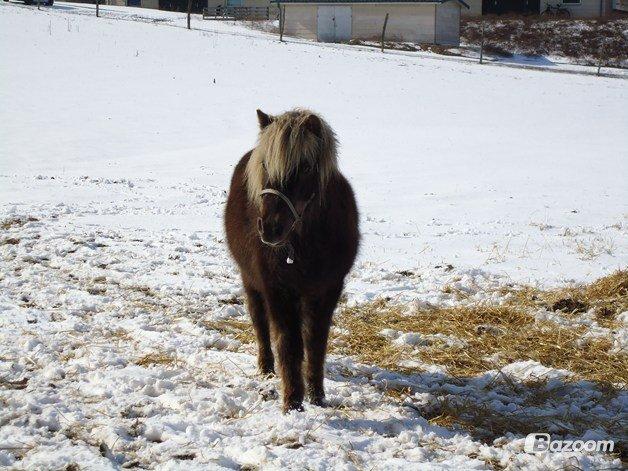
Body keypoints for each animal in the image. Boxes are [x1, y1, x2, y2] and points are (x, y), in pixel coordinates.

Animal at [224, 109, 358, 412]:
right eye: (264, 164)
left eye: (306, 168)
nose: (270, 228)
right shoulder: (278, 291)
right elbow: (288, 343)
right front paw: (292, 403)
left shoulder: (327, 290)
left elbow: (316, 342)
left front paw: (317, 396)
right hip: (251, 282)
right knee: (260, 323)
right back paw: (266, 368)